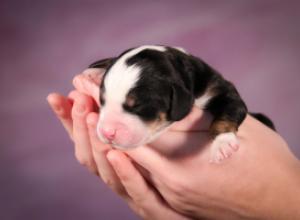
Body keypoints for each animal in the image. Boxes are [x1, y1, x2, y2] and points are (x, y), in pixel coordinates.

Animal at [87, 44, 274, 162]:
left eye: (138, 106)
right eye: (102, 101)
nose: (107, 133)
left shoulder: (221, 90)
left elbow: (228, 112)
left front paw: (222, 143)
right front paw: (95, 71)